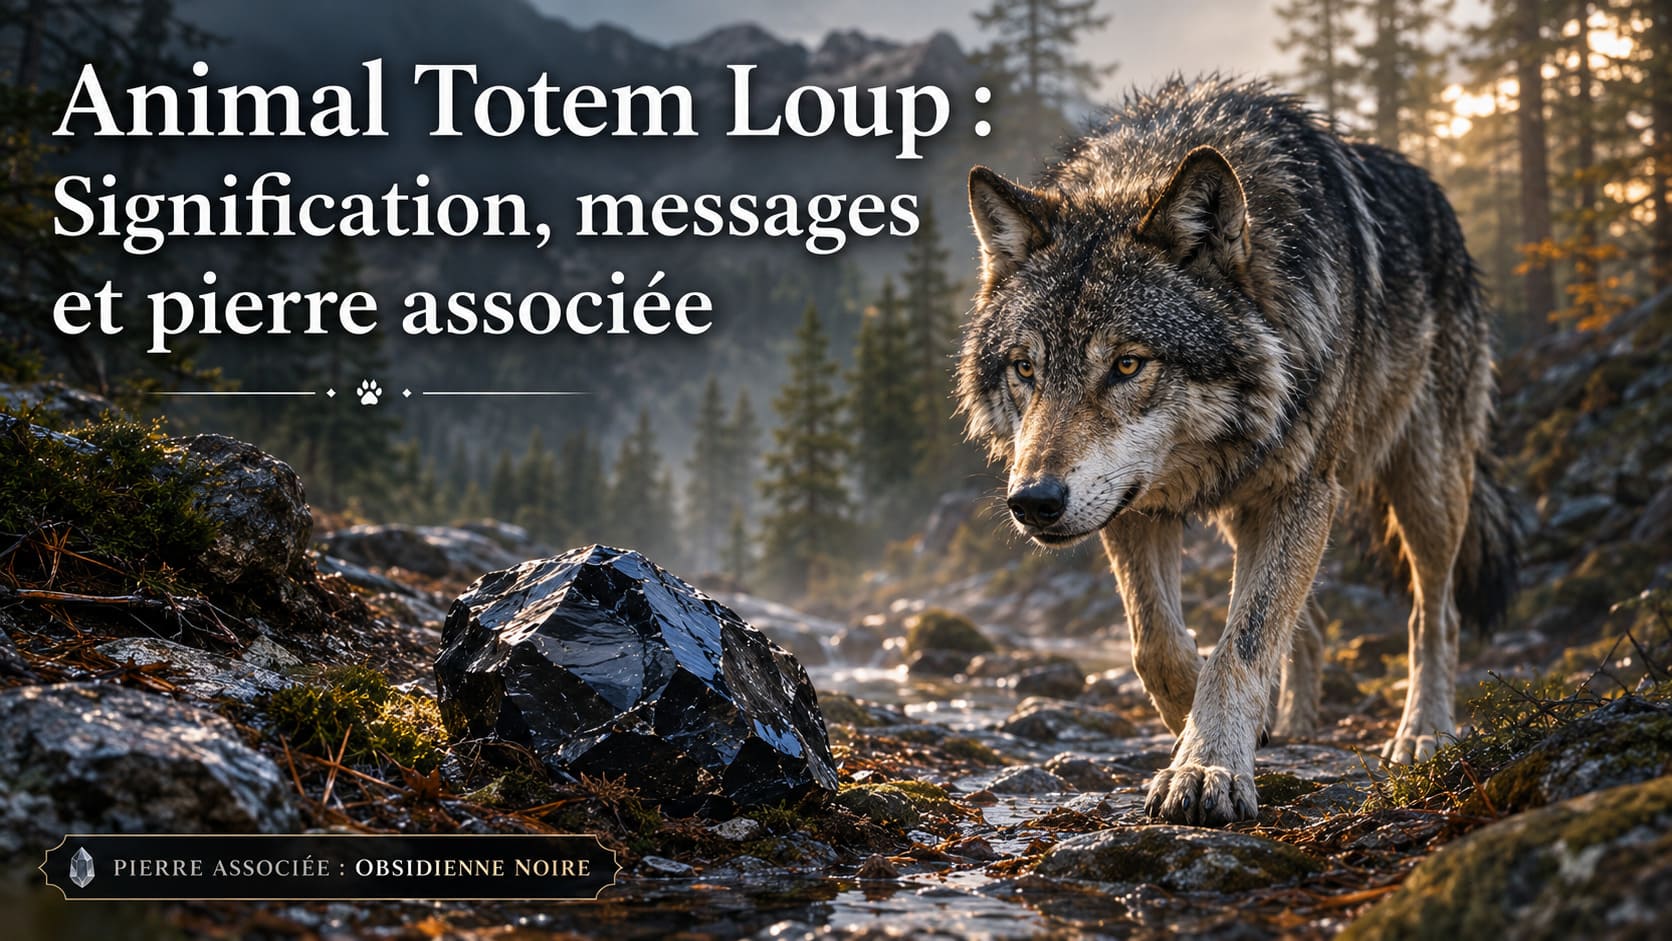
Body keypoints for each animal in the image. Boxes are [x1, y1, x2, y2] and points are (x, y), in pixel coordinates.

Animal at [957, 78, 1518, 826]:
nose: (1034, 502)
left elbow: (1242, 643)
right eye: (1025, 368)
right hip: (1246, 511)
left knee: (1435, 613)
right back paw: (1295, 719)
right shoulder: (1133, 508)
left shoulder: (1300, 489)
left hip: (1424, 488)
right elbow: (1158, 645)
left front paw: (1207, 764)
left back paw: (1424, 731)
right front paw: (1207, 729)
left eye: (1128, 364)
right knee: (1308, 623)